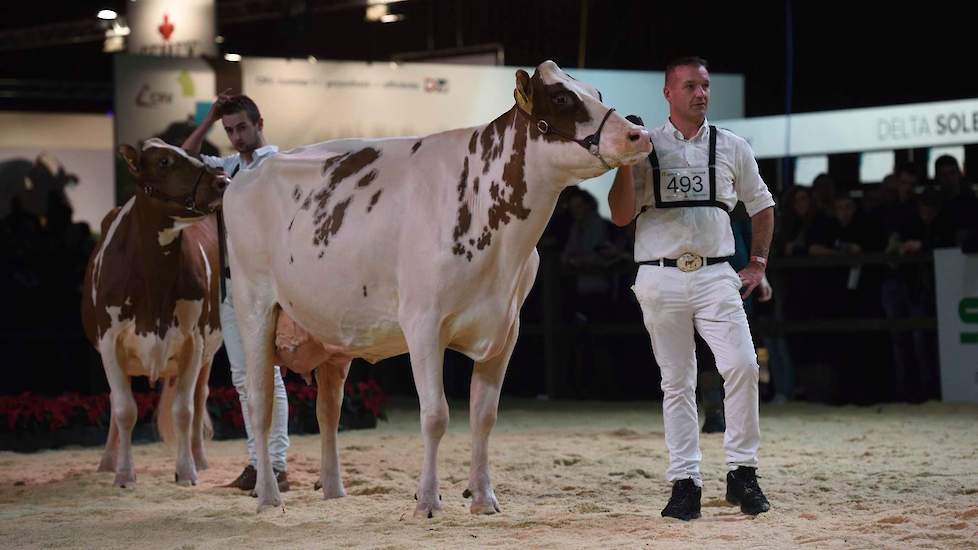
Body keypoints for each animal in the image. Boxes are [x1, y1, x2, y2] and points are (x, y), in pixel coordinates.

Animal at [82, 140, 227, 490]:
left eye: (197, 157)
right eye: (164, 161)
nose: (221, 180)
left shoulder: (194, 340)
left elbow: (184, 410)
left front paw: (186, 471)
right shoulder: (110, 341)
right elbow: (124, 409)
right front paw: (123, 474)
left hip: (210, 348)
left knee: (200, 396)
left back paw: (200, 458)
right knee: (114, 401)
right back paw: (107, 461)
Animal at [221, 61, 648, 516]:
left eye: (596, 91)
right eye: (563, 99)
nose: (638, 133)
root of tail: (243, 176)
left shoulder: (506, 328)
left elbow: (484, 416)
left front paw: (484, 499)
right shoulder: (422, 322)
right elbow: (435, 415)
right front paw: (427, 500)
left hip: (331, 334)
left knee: (328, 410)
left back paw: (334, 489)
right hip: (254, 309)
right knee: (260, 405)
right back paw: (268, 496)